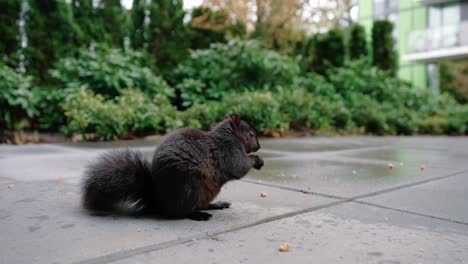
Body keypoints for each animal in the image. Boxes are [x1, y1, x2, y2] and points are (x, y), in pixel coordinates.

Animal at [81, 114, 264, 221]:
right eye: (251, 134)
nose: (259, 146)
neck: (230, 136)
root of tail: (159, 201)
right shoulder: (228, 150)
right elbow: (238, 167)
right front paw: (256, 160)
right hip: (190, 187)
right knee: (181, 213)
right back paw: (198, 215)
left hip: (206, 191)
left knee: (200, 204)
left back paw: (216, 205)